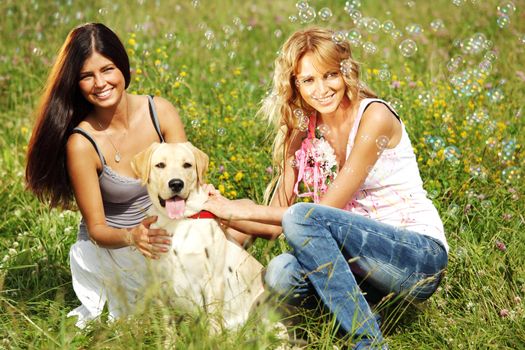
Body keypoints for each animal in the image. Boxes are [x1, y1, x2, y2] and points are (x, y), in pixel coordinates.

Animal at [129, 141, 264, 330]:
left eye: (187, 165)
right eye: (160, 165)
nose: (176, 184)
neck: (179, 222)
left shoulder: (213, 282)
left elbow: (212, 325)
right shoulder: (160, 286)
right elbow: (168, 327)